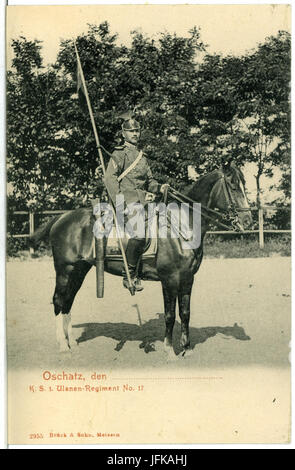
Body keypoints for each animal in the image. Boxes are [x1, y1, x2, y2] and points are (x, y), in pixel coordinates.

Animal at [31, 163, 252, 358]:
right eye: (233, 185)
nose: (248, 221)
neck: (181, 226)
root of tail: (61, 217)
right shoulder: (170, 279)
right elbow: (170, 316)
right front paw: (169, 351)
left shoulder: (188, 279)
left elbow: (185, 313)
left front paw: (187, 349)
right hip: (65, 270)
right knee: (58, 300)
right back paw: (63, 346)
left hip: (79, 270)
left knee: (68, 301)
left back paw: (73, 343)